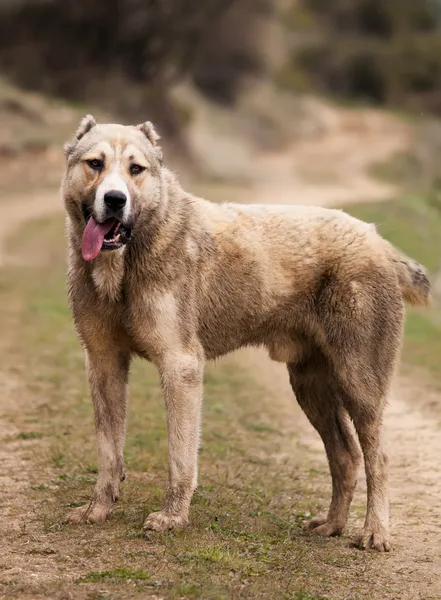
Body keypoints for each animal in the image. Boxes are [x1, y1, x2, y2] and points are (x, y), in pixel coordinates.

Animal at [62, 115, 430, 552]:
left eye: (137, 169)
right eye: (95, 164)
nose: (115, 199)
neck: (127, 262)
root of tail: (378, 241)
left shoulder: (180, 366)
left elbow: (180, 457)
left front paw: (173, 517)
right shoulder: (103, 363)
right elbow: (108, 452)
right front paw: (97, 509)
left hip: (360, 384)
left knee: (379, 459)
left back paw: (375, 531)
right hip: (311, 387)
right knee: (345, 456)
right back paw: (332, 525)